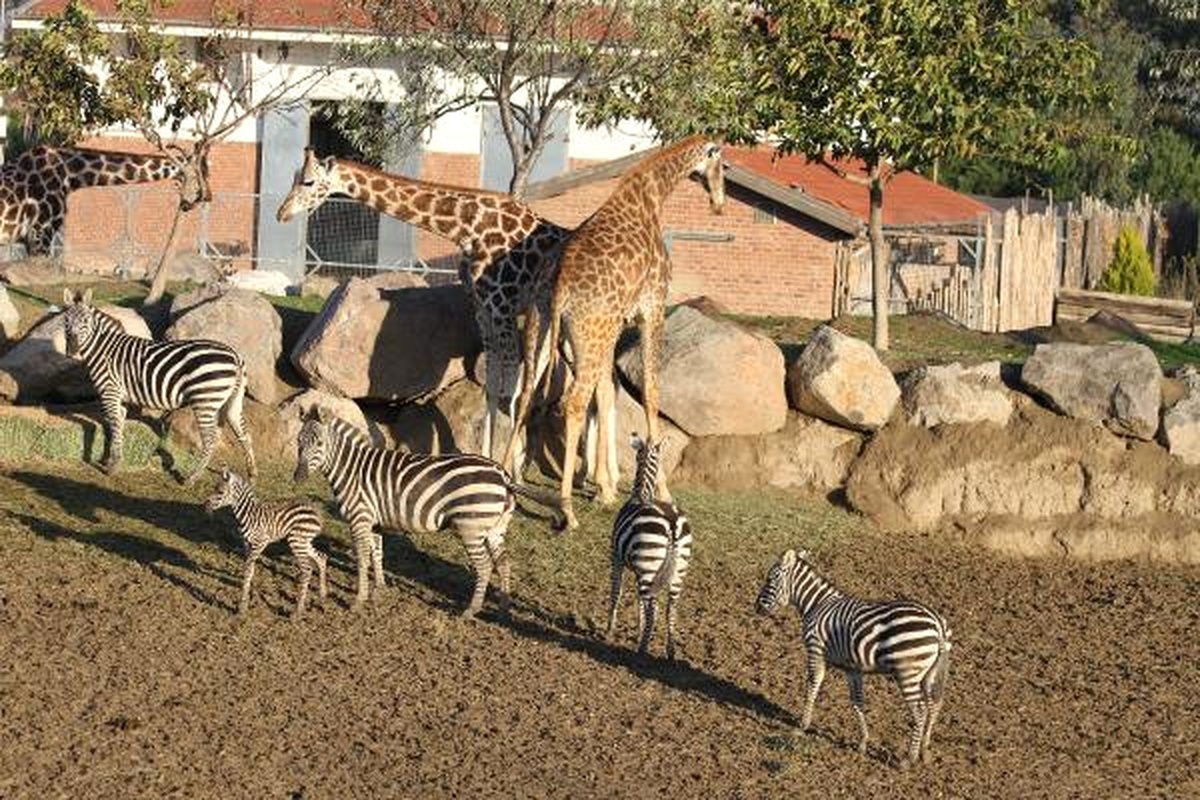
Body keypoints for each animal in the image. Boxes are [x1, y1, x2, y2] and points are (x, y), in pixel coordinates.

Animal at [60, 288, 255, 484]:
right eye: (66, 321)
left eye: (86, 321)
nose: (72, 352)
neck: (104, 349)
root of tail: (235, 355)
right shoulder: (121, 397)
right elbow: (119, 426)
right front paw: (114, 460)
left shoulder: (110, 392)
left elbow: (112, 425)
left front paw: (111, 467)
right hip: (231, 401)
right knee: (244, 434)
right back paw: (252, 473)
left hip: (205, 401)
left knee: (210, 440)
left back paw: (192, 477)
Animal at [205, 467, 327, 618]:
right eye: (214, 488)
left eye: (220, 492)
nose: (205, 505)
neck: (249, 514)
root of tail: (316, 512)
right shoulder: (247, 544)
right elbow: (250, 570)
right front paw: (247, 599)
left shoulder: (260, 543)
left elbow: (247, 570)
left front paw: (242, 607)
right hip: (303, 542)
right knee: (321, 557)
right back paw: (322, 595)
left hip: (297, 541)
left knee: (307, 570)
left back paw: (297, 612)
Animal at [293, 406, 563, 619]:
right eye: (298, 442)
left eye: (319, 444)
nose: (299, 477)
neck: (352, 469)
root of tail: (503, 475)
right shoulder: (374, 521)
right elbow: (377, 554)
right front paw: (379, 589)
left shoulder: (359, 518)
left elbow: (362, 558)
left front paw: (358, 600)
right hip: (495, 528)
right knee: (504, 563)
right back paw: (503, 609)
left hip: (471, 527)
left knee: (485, 566)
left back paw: (470, 610)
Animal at [606, 433, 692, 659]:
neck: (641, 493)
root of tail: (672, 523)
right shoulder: (638, 569)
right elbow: (638, 602)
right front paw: (638, 629)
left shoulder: (616, 558)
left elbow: (616, 592)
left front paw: (609, 629)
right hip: (676, 571)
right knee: (670, 609)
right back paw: (670, 651)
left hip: (649, 568)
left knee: (654, 609)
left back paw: (642, 650)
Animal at [755, 548, 953, 766]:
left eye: (771, 578)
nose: (757, 607)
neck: (816, 605)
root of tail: (936, 622)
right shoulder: (853, 667)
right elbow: (857, 701)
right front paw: (863, 742)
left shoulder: (815, 651)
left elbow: (812, 686)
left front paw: (802, 726)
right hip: (929, 673)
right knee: (934, 705)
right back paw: (924, 751)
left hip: (907, 672)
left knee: (920, 711)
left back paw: (909, 759)